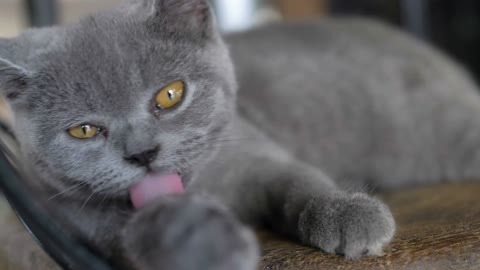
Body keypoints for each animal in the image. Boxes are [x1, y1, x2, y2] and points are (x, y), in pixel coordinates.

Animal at [0, 0, 480, 268]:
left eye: (170, 94)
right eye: (84, 130)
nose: (143, 152)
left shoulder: (258, 155)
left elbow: (298, 180)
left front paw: (348, 215)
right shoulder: (80, 223)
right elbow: (144, 230)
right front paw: (206, 245)